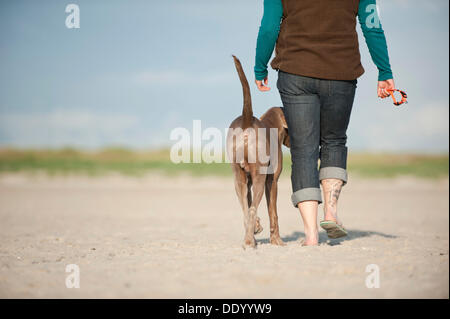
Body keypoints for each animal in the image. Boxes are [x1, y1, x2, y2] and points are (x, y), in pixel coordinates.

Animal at [227, 55, 290, 250]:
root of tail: (247, 121)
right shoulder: (273, 180)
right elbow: (273, 212)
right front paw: (277, 240)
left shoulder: (247, 181)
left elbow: (248, 208)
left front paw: (255, 228)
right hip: (260, 177)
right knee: (253, 208)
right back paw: (250, 242)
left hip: (238, 177)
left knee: (246, 209)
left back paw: (250, 239)